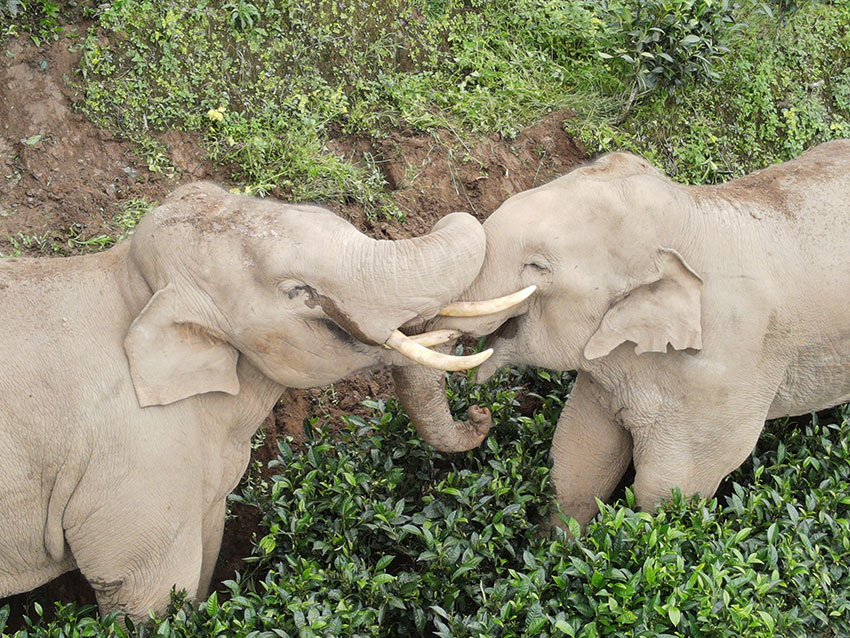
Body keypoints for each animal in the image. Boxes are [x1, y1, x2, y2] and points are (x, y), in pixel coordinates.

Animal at [0, 182, 504, 624]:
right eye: (297, 292)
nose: (480, 415)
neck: (131, 282)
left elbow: (205, 552)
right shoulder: (133, 470)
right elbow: (149, 595)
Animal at [394, 142, 848, 532]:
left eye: (537, 266)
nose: (479, 413)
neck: (694, 213)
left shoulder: (725, 377)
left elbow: (665, 490)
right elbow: (578, 460)